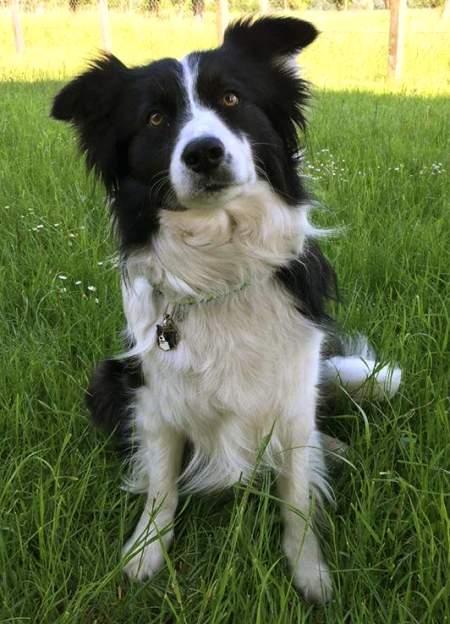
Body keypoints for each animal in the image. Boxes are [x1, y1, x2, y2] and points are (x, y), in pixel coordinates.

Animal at [51, 17, 400, 604]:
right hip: (107, 376)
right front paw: (146, 551)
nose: (204, 153)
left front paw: (309, 570)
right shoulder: (152, 390)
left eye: (232, 98)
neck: (220, 267)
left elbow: (296, 493)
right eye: (155, 118)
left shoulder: (293, 389)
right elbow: (162, 482)